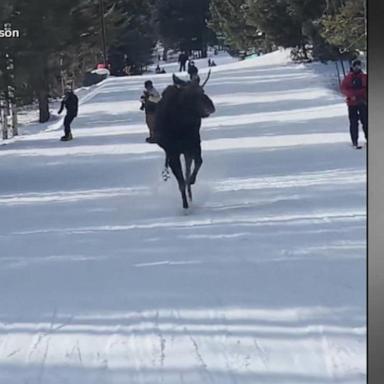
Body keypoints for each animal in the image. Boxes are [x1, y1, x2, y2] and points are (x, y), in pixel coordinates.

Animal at [155, 72, 218, 210]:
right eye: (190, 95)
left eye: (202, 90)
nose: (211, 107)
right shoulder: (173, 153)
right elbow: (181, 182)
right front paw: (185, 206)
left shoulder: (194, 144)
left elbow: (197, 164)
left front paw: (191, 182)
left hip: (187, 151)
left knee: (188, 170)